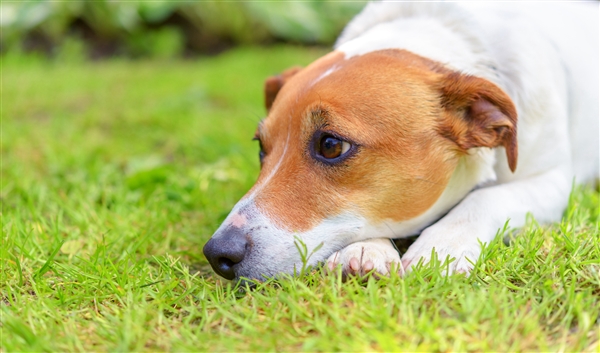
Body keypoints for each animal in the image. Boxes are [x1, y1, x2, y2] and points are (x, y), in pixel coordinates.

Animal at [203, 1, 600, 280]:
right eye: (261, 148)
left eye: (331, 145)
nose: (217, 253)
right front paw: (363, 250)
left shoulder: (552, 181)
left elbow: (487, 197)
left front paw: (441, 245)